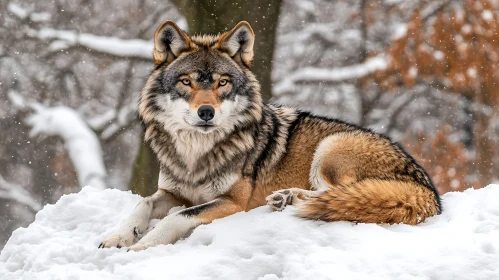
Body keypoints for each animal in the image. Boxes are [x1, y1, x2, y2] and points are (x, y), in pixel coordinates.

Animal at [97, 20, 442, 250]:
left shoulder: (232, 202)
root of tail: (428, 190)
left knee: (341, 196)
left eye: (222, 83)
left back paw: (288, 199)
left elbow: (177, 217)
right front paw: (118, 237)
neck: (197, 152)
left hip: (330, 150)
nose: (206, 112)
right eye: (186, 82)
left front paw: (141, 246)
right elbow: (142, 203)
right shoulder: (172, 192)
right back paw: (285, 198)